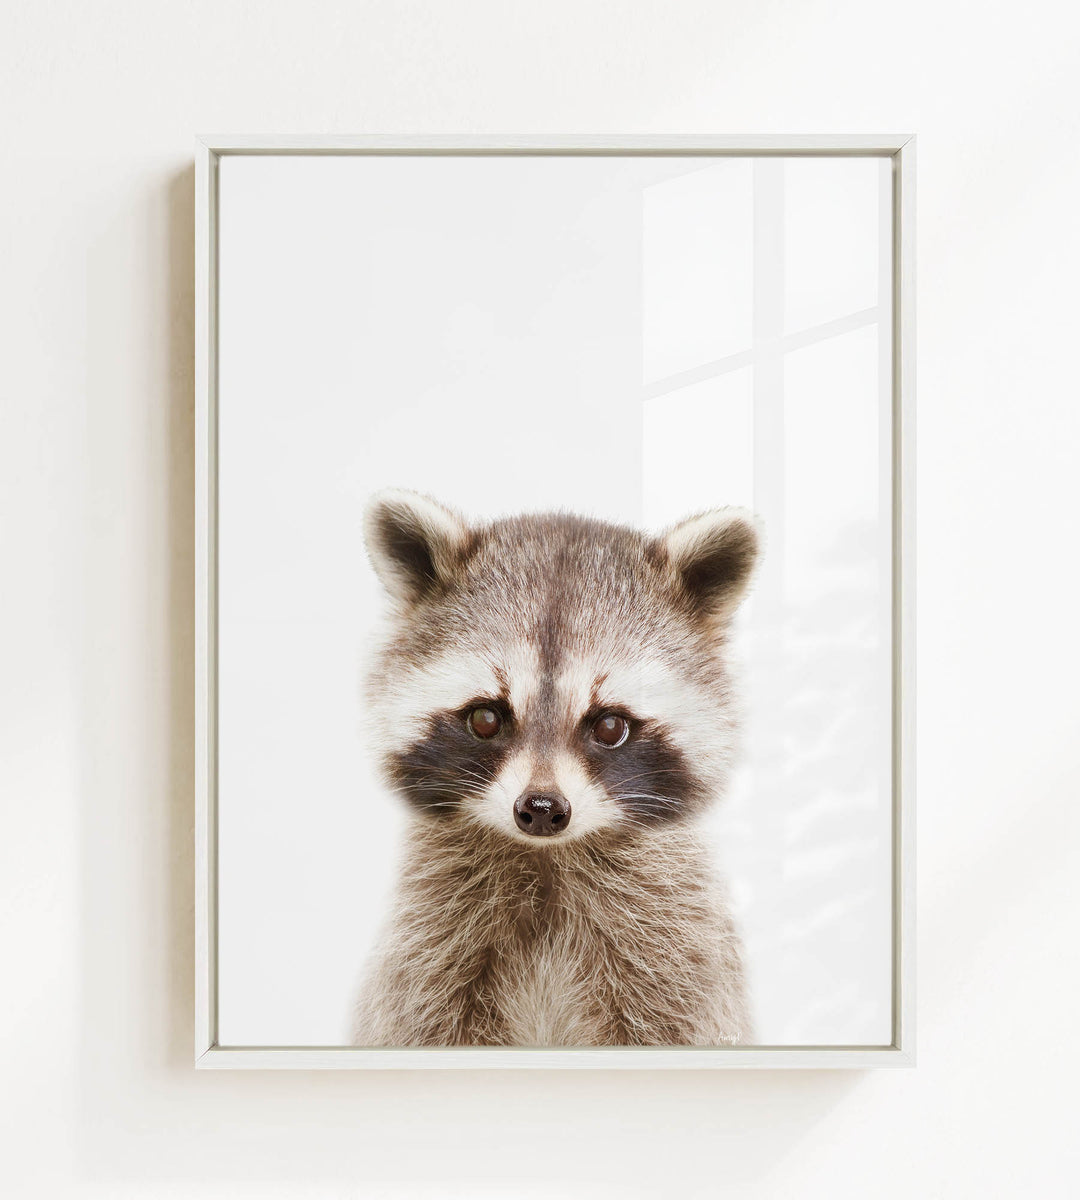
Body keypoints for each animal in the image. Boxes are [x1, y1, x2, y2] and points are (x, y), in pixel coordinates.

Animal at [353, 489, 759, 1047]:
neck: (546, 860)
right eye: (485, 718)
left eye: (609, 726)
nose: (542, 809)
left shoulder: (677, 955)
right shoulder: (426, 950)